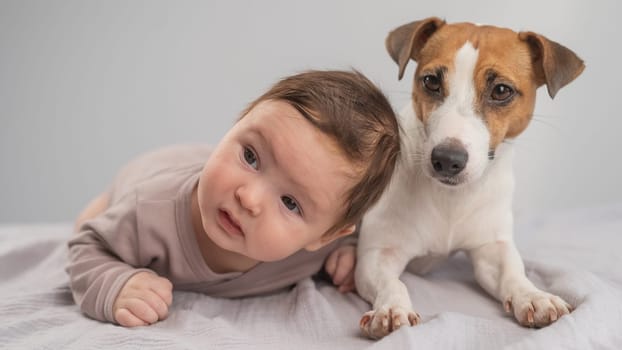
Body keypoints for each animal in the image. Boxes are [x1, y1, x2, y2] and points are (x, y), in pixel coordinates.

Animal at [356, 16, 584, 340]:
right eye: (431, 81)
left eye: (501, 90)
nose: (446, 160)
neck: (452, 199)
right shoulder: (378, 255)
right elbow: (392, 283)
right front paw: (390, 309)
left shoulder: (492, 248)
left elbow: (514, 273)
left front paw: (534, 296)